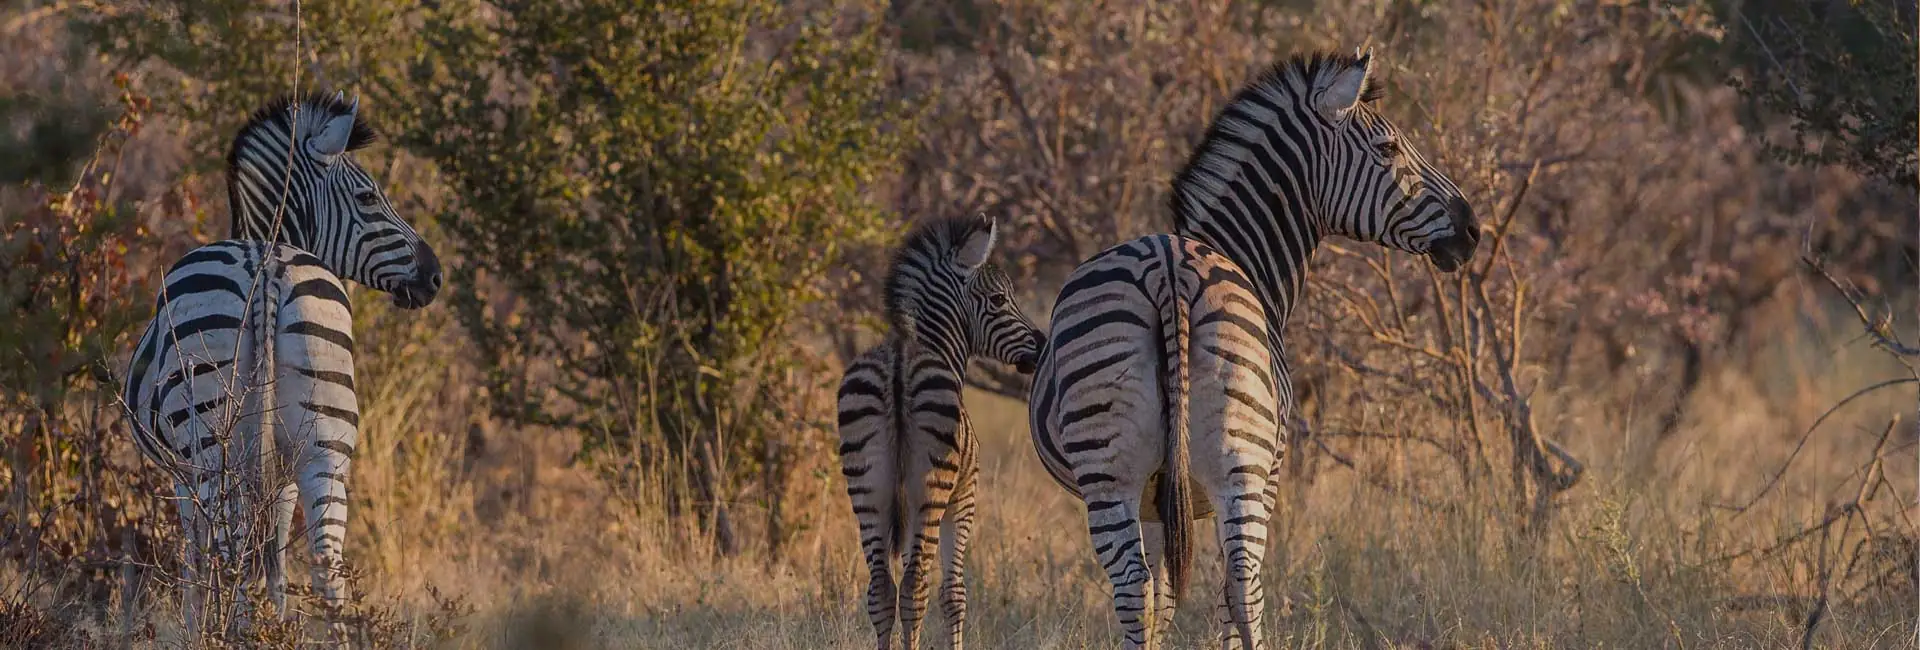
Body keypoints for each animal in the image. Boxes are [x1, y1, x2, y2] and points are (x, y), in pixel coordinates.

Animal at [120, 91, 445, 636]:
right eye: (368, 198)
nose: (435, 276)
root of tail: (265, 263)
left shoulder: (183, 476)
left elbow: (197, 558)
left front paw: (197, 627)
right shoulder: (280, 475)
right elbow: (270, 558)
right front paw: (274, 620)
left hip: (215, 448)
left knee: (230, 553)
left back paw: (235, 633)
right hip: (325, 447)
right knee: (326, 568)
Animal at [833, 214, 1044, 650]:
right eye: (999, 300)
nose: (1043, 344)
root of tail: (898, 362)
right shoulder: (963, 498)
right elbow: (954, 593)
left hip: (867, 488)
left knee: (881, 587)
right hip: (931, 491)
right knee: (915, 586)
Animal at [1029, 48, 1474, 648]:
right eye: (1388, 148)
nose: (1472, 229)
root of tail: (1167, 268)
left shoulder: (1155, 496)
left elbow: (1161, 599)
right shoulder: (1270, 471)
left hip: (1111, 473)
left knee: (1134, 587)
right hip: (1243, 469)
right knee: (1242, 587)